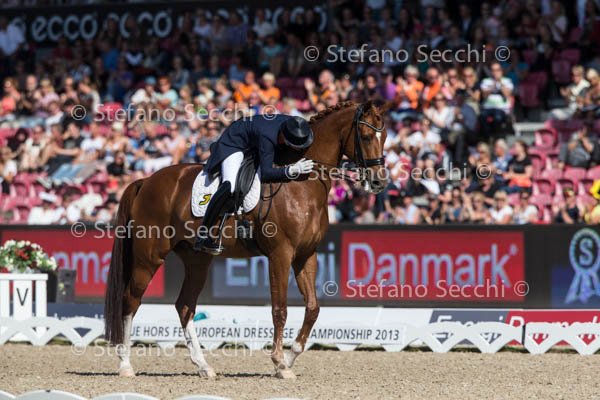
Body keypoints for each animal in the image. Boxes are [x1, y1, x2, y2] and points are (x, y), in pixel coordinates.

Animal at [104, 100, 389, 379]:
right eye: (366, 136)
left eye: (384, 136)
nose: (378, 182)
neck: (302, 185)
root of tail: (146, 181)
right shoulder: (281, 255)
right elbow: (280, 309)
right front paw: (279, 362)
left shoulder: (306, 255)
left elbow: (313, 308)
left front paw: (289, 358)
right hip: (149, 257)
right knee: (130, 300)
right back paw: (125, 365)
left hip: (197, 260)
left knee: (185, 306)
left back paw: (204, 366)